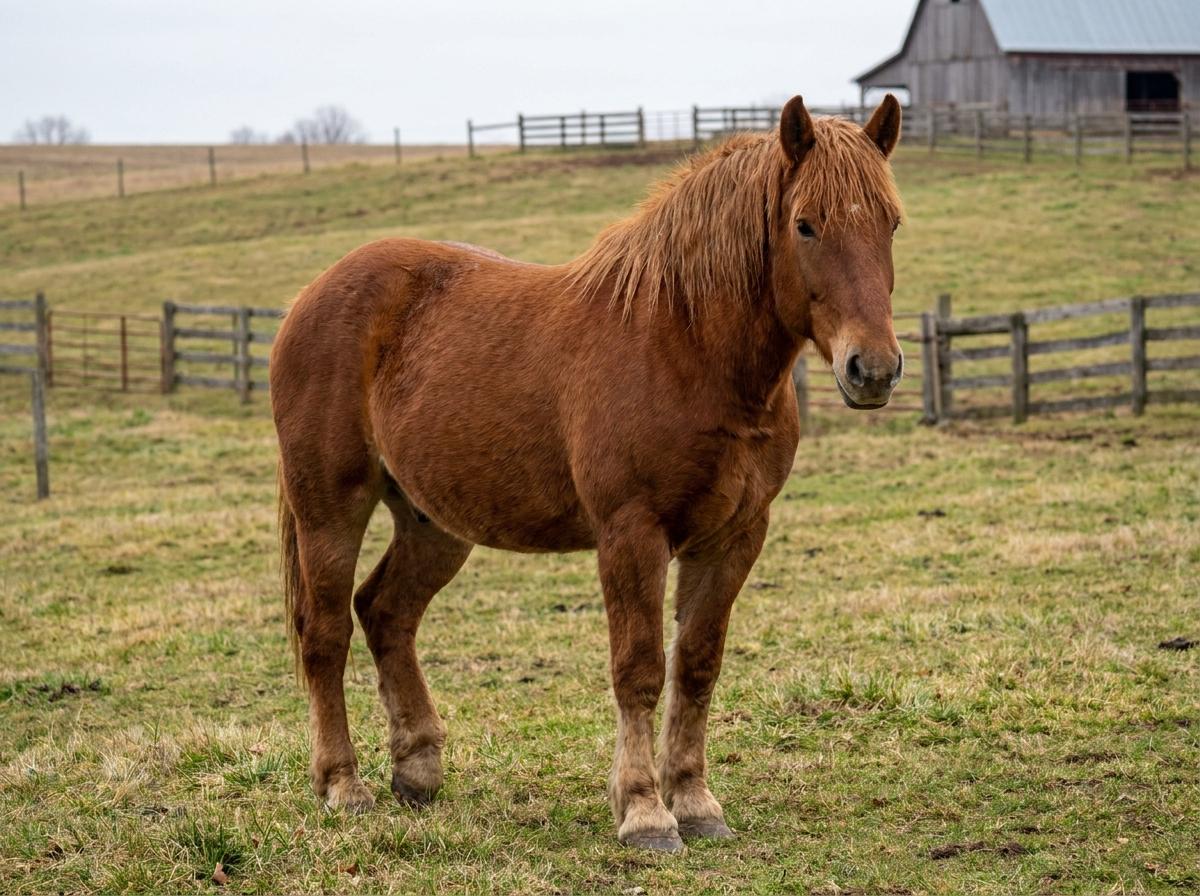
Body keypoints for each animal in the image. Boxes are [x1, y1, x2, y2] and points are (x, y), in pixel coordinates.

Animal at [270, 94, 904, 852]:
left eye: (891, 222)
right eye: (805, 224)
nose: (873, 369)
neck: (684, 344)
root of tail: (310, 295)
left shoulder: (734, 536)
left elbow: (697, 665)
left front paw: (695, 801)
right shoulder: (631, 534)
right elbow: (639, 669)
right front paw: (644, 811)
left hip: (433, 523)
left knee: (385, 613)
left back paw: (417, 770)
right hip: (330, 508)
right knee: (326, 632)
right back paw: (343, 785)